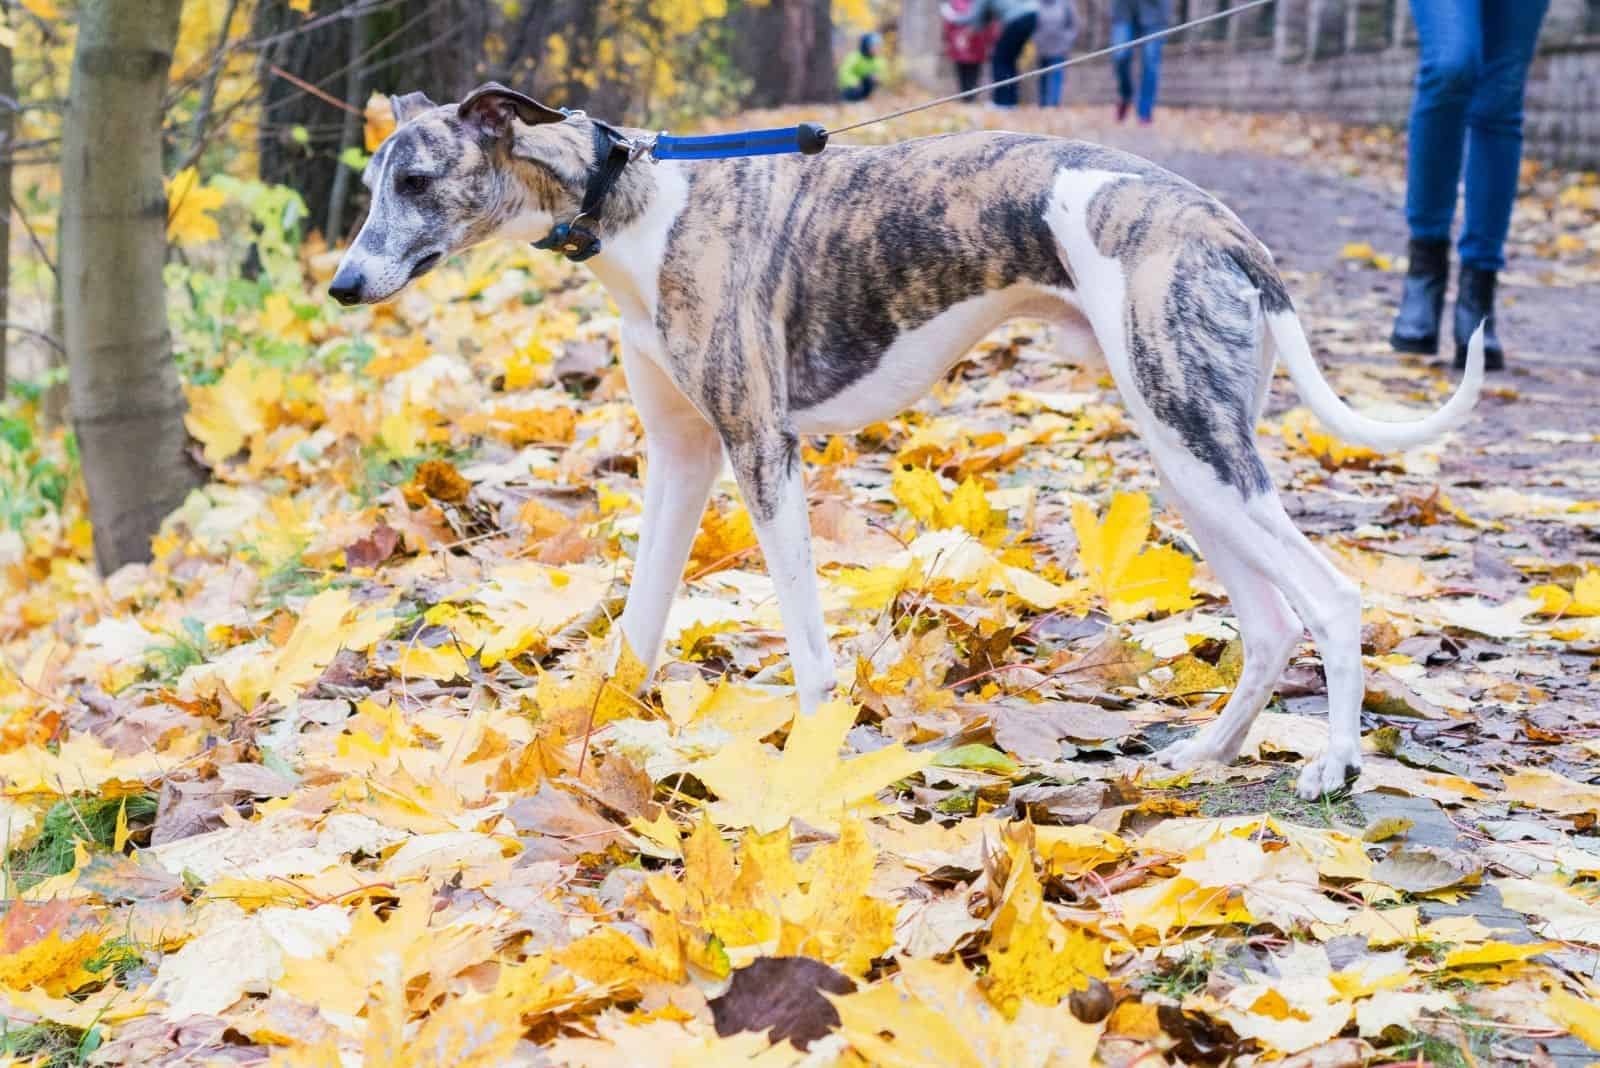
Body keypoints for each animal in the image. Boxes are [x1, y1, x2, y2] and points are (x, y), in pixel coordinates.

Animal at [328, 87, 1484, 796]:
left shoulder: (761, 449)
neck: (634, 201)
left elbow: (805, 640)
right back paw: (1203, 751)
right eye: (375, 183)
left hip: (1196, 441)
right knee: (1269, 620)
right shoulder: (684, 458)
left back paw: (1334, 765)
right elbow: (640, 620)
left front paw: (812, 754)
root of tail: (1219, 222)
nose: (341, 284)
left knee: (1332, 598)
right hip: (1184, 453)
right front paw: (591, 729)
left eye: (416, 182)